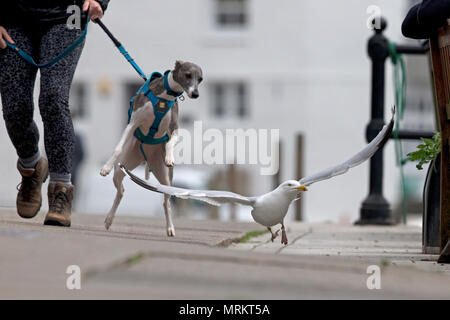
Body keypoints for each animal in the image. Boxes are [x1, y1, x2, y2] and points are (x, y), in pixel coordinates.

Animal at [100, 60, 204, 235]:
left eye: (201, 79)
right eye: (188, 75)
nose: (195, 94)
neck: (165, 96)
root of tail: (145, 158)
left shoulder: (174, 127)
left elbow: (170, 141)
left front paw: (169, 157)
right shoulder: (133, 123)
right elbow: (118, 147)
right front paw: (105, 167)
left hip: (166, 178)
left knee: (166, 202)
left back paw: (170, 228)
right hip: (123, 166)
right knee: (121, 191)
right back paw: (108, 219)